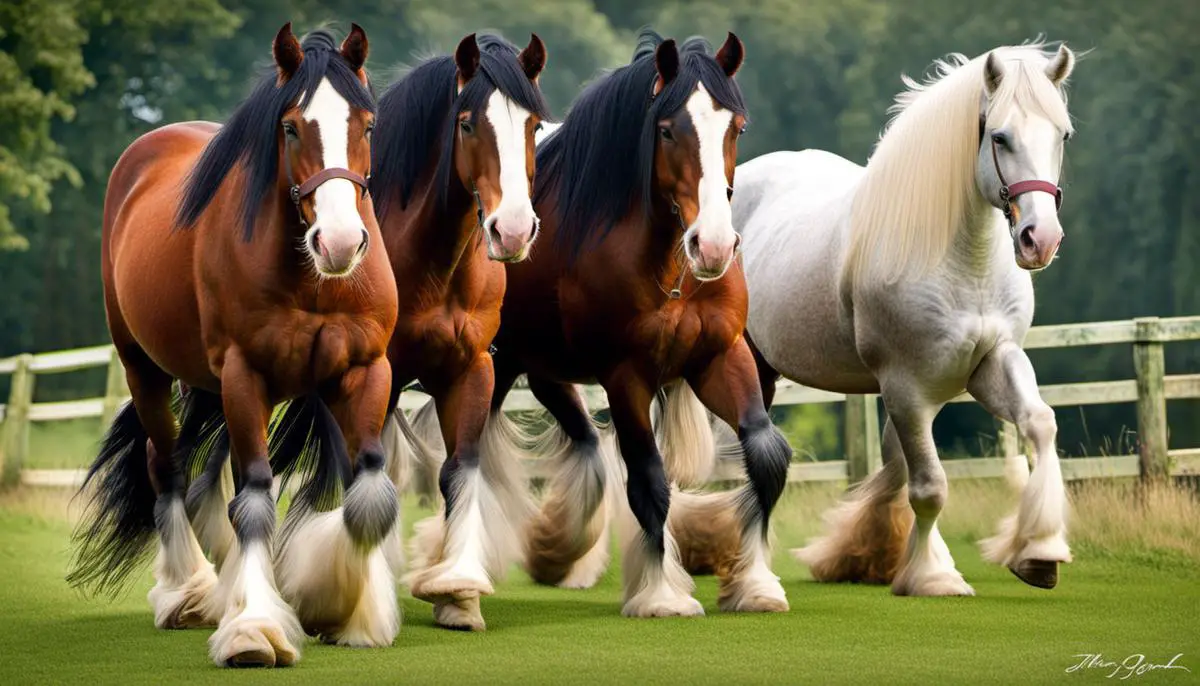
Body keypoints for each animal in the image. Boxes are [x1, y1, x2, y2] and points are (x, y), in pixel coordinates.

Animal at [66, 24, 398, 666]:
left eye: (368, 126)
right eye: (290, 127)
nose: (340, 242)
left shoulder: (364, 369)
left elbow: (369, 494)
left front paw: (347, 610)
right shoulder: (246, 377)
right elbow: (254, 501)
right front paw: (256, 628)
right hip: (145, 368)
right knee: (167, 467)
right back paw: (187, 593)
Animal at [369, 33, 552, 633]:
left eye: (533, 126)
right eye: (468, 123)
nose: (512, 231)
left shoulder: (470, 370)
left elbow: (459, 472)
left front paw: (458, 592)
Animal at [489, 28, 796, 614]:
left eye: (736, 127)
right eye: (667, 129)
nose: (713, 246)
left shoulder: (720, 356)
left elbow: (766, 455)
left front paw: (755, 583)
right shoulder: (625, 376)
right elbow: (649, 480)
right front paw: (660, 594)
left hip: (541, 368)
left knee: (582, 442)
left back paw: (558, 550)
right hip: (493, 367)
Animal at [681, 41, 1084, 594]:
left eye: (1061, 134)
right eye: (1000, 136)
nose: (1039, 239)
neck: (963, 261)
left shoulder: (992, 362)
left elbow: (1038, 425)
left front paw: (1039, 552)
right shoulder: (905, 387)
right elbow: (929, 486)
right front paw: (933, 576)